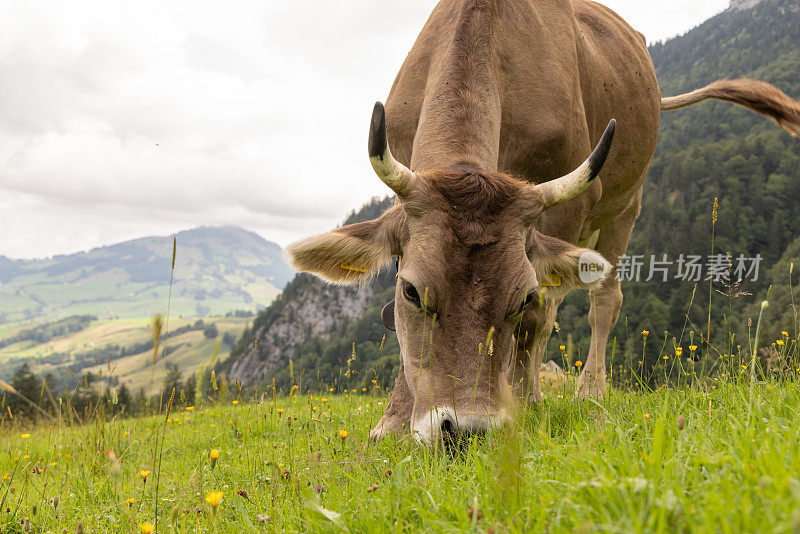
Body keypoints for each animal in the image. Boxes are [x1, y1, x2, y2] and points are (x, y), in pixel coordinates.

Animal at [288, 0, 800, 448]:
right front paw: (392, 421)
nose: (465, 431)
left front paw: (520, 404)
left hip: (624, 206)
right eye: (412, 291)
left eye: (521, 296)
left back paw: (582, 391)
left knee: (600, 302)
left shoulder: (566, 209)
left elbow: (538, 318)